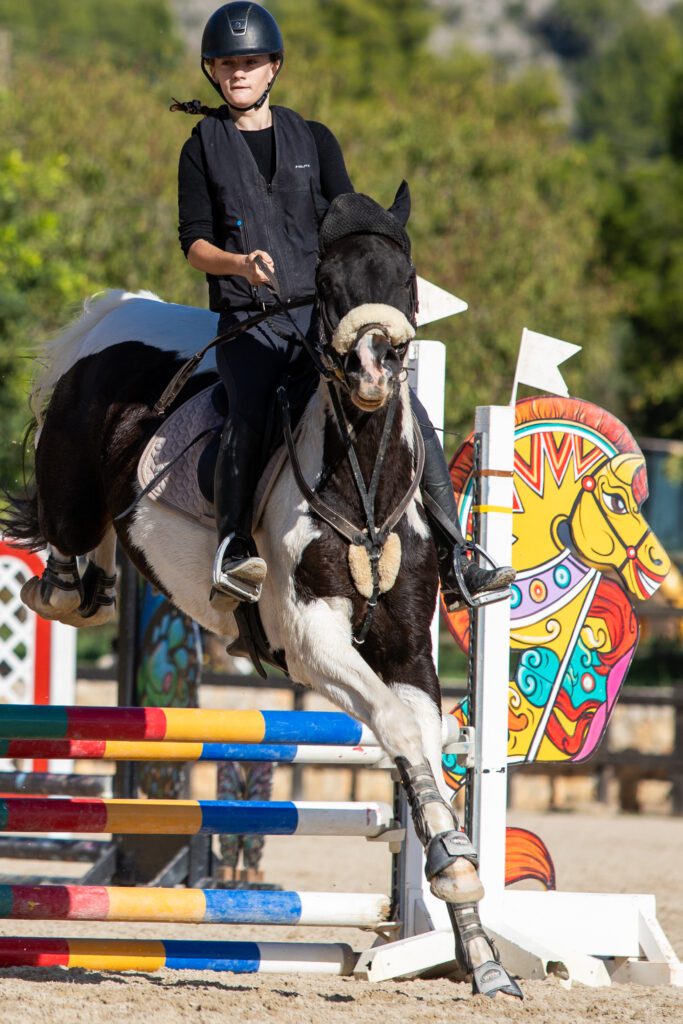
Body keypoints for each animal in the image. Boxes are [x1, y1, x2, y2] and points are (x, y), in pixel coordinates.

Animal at [5, 186, 520, 999]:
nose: (373, 370)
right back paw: (64, 587)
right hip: (74, 486)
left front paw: (478, 946)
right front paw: (455, 874)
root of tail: (115, 315)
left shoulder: (407, 647)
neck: (363, 481)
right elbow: (397, 729)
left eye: (405, 278)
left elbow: (426, 744)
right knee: (66, 538)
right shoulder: (311, 642)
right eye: (330, 282)